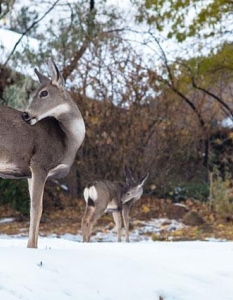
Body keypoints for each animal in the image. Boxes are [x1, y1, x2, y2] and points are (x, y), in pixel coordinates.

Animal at [0, 58, 85, 248]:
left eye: (44, 93)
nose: (25, 115)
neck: (68, 140)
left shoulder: (29, 173)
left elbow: (35, 208)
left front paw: (32, 246)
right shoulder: (40, 162)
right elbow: (37, 209)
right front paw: (32, 247)